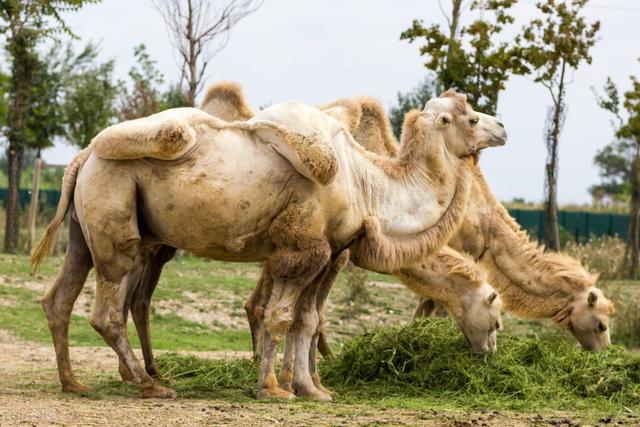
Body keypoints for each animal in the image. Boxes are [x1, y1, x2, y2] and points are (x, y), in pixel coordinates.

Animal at [32, 86, 508, 402]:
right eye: (470, 118)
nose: (503, 127)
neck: (367, 182)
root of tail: (83, 156)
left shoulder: (330, 251)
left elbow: (307, 320)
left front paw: (312, 389)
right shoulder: (303, 248)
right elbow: (278, 316)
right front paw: (273, 389)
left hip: (85, 229)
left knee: (61, 297)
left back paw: (74, 382)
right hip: (116, 213)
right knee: (108, 310)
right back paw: (151, 384)